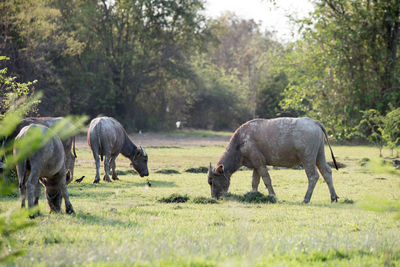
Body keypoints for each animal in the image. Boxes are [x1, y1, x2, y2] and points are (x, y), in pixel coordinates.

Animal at [208, 117, 340, 203]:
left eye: (212, 181)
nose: (214, 197)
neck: (240, 142)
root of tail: (314, 122)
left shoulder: (260, 163)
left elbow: (267, 180)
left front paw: (272, 195)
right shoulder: (256, 165)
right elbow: (255, 182)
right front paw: (253, 195)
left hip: (307, 158)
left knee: (313, 176)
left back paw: (306, 199)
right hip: (319, 154)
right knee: (326, 172)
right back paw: (333, 197)